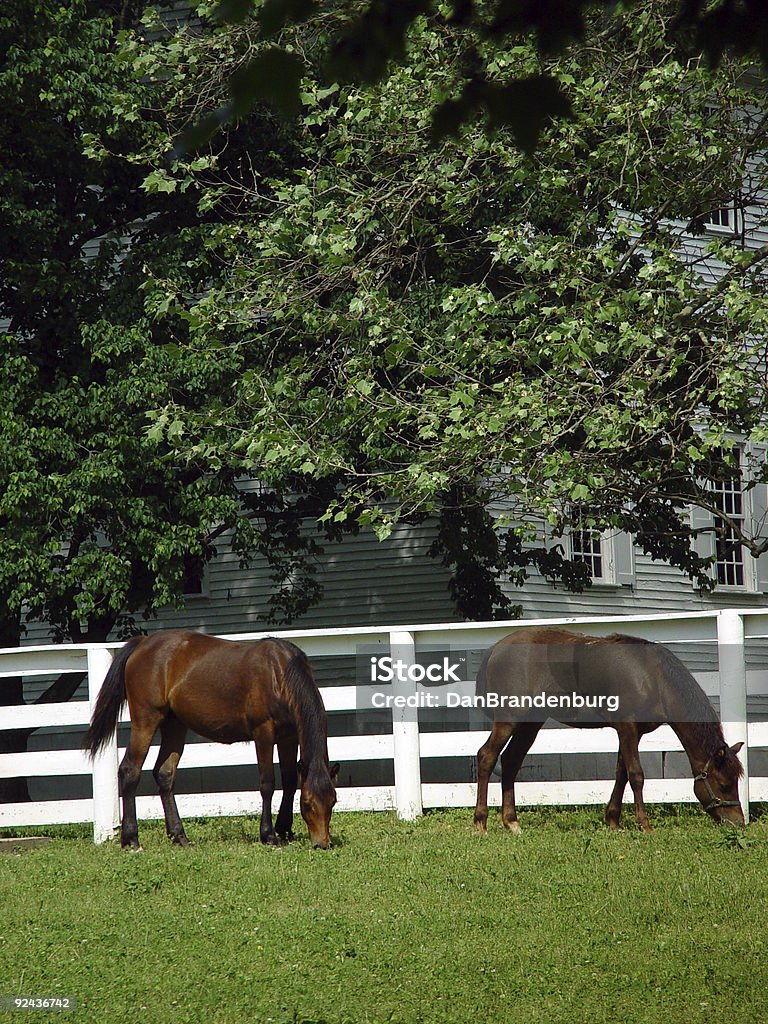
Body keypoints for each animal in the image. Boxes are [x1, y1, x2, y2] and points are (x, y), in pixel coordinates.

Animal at [85, 626, 337, 851]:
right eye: (308, 804)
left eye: (333, 801)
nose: (322, 844)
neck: (278, 673)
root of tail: (143, 643)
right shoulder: (263, 733)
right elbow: (267, 783)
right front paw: (268, 835)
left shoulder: (289, 736)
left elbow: (290, 781)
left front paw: (284, 829)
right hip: (146, 721)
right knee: (130, 771)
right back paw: (131, 839)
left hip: (174, 724)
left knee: (165, 774)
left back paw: (180, 836)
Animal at [475, 622, 745, 831]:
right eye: (724, 784)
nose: (739, 823)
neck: (653, 677)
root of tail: (496, 649)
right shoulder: (627, 728)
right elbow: (636, 775)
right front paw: (644, 824)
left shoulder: (632, 733)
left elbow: (621, 773)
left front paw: (613, 820)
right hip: (508, 720)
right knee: (487, 756)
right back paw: (480, 823)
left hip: (530, 724)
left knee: (510, 761)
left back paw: (511, 822)